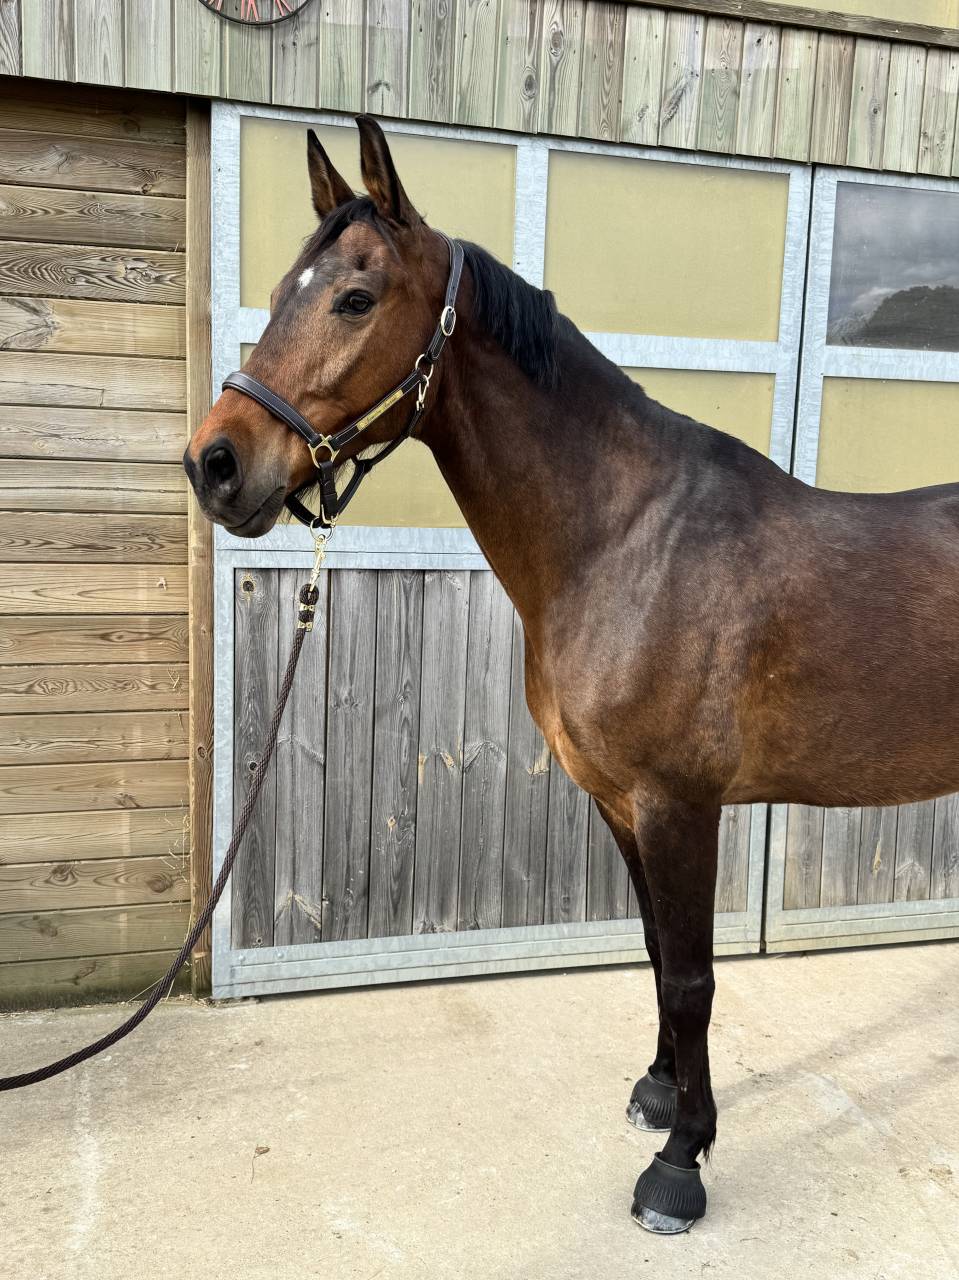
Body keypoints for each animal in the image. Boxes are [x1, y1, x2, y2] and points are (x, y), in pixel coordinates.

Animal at [184, 116, 959, 1234]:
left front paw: (679, 1165)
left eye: (354, 297)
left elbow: (690, 976)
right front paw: (661, 1094)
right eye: (286, 284)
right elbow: (653, 950)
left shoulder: (678, 803)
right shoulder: (618, 801)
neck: (624, 539)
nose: (214, 465)